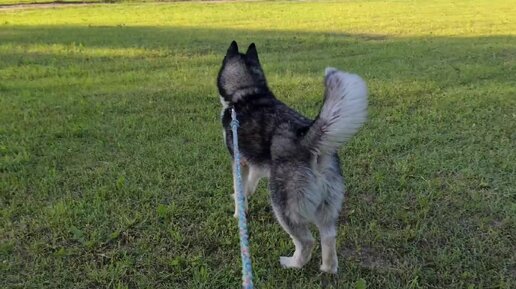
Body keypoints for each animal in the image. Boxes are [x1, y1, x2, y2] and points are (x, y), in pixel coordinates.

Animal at [218, 40, 366, 272]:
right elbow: (248, 187)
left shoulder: (238, 161)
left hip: (283, 206)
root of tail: (308, 141)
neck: (247, 91)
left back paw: (292, 264)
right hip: (326, 207)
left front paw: (238, 212)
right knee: (328, 237)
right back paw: (327, 269)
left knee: (307, 241)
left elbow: (240, 188)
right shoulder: (256, 165)